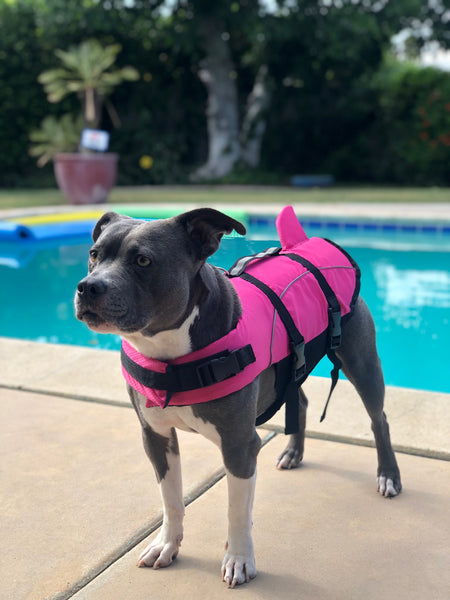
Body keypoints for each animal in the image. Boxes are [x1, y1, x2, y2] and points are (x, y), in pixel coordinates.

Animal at [75, 207, 402, 584]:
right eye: (94, 255)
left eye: (143, 260)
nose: (88, 286)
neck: (170, 352)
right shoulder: (155, 436)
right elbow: (170, 498)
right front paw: (167, 544)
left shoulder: (238, 445)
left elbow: (236, 511)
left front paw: (239, 559)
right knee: (301, 401)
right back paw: (293, 452)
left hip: (361, 362)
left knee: (379, 418)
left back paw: (388, 475)